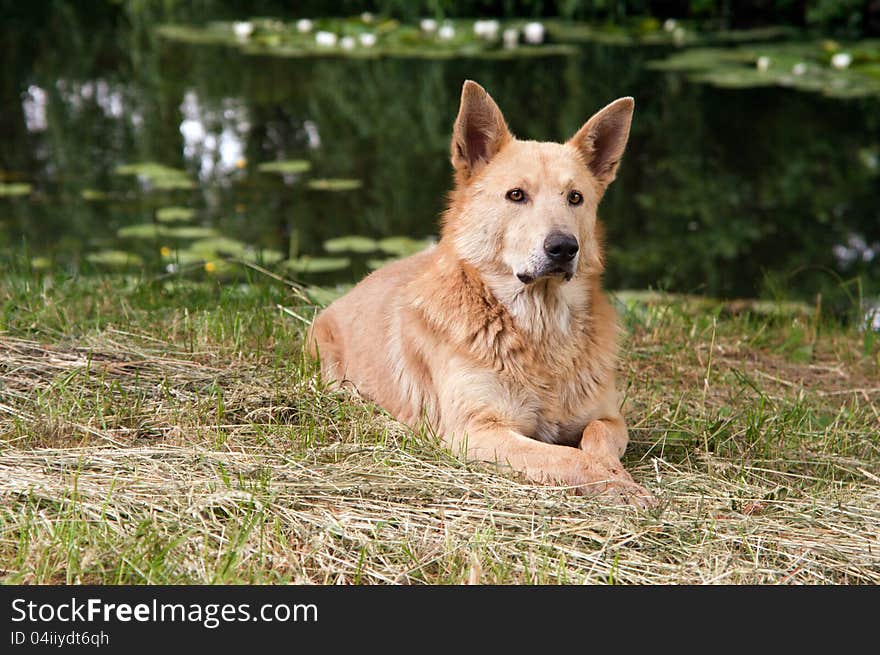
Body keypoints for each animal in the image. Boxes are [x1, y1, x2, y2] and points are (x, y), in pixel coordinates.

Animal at [308, 78, 652, 508]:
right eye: (516, 195)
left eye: (575, 198)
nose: (563, 247)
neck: (540, 329)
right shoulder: (476, 431)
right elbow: (567, 457)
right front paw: (616, 483)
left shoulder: (609, 419)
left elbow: (595, 440)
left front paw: (616, 473)